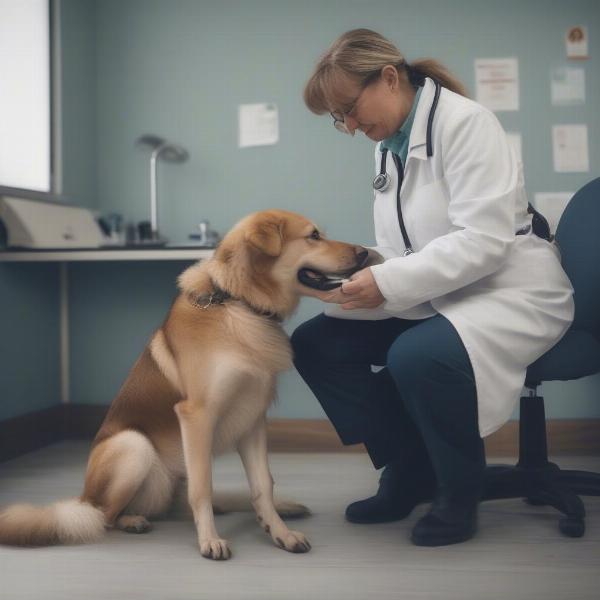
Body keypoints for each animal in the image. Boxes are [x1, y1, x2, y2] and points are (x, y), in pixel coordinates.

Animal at [0, 209, 380, 560]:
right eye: (313, 236)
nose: (365, 253)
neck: (237, 304)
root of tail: (82, 496)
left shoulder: (253, 421)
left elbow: (263, 485)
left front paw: (279, 532)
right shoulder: (196, 416)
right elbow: (203, 488)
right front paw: (209, 540)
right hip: (133, 446)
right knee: (104, 515)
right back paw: (132, 520)